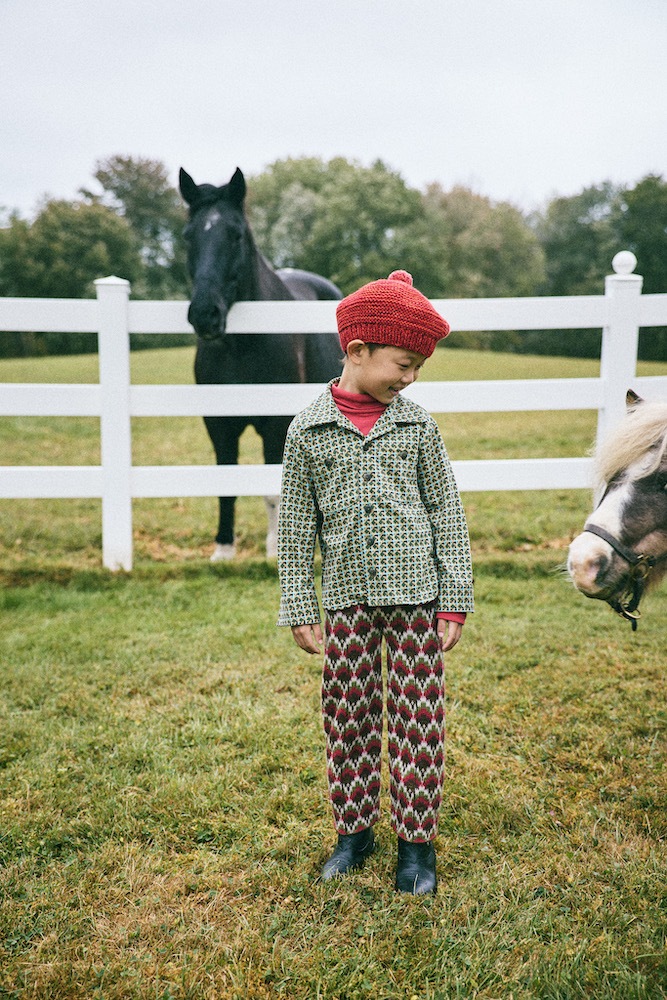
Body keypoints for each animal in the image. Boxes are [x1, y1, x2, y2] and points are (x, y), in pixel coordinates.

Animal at [178, 167, 342, 560]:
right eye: (188, 236)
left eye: (236, 234)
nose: (205, 314)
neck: (242, 345)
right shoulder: (218, 424)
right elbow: (226, 486)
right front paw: (223, 548)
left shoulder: (275, 424)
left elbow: (273, 490)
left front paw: (274, 549)